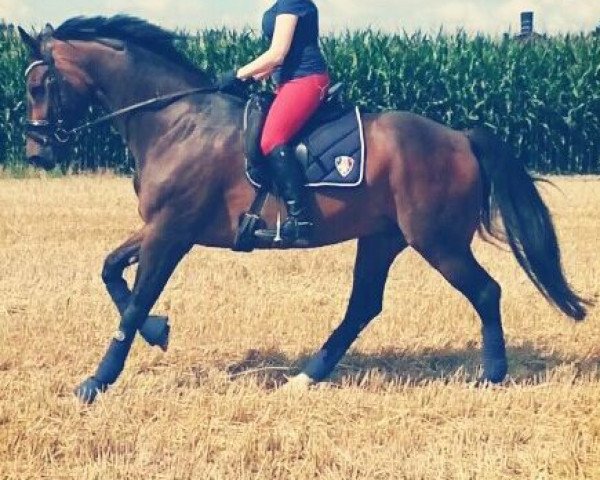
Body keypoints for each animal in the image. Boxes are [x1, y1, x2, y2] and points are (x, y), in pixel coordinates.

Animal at [17, 16, 584, 404]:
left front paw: (95, 382)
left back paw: (491, 377)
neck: (176, 119)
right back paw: (305, 378)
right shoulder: (160, 227)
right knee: (363, 307)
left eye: (39, 85)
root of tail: (461, 138)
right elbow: (111, 270)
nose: (36, 153)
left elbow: (134, 301)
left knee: (485, 291)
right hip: (382, 237)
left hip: (437, 241)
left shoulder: (171, 231)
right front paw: (158, 332)